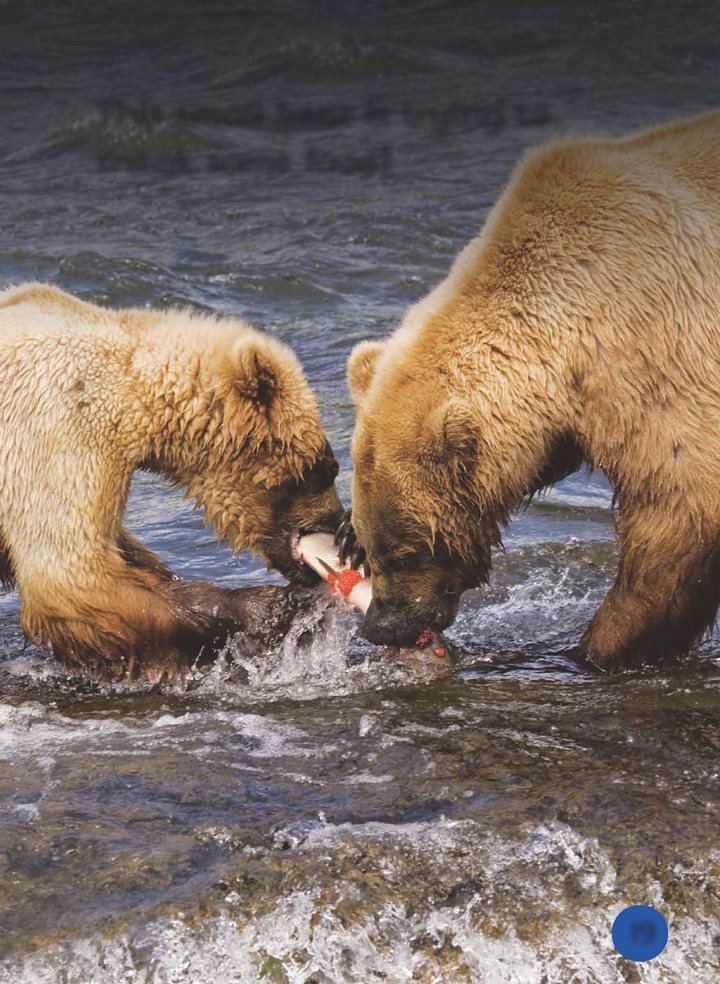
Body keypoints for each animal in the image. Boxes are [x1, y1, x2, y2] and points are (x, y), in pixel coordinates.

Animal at [340, 111, 720, 672]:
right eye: (372, 543)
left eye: (407, 550)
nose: (379, 626)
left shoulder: (658, 349)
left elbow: (681, 507)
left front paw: (588, 650)